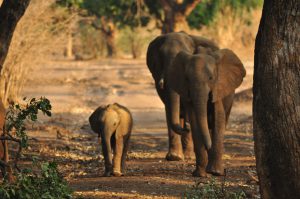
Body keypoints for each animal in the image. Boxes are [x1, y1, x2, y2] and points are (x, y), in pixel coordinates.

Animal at [166, 48, 246, 176]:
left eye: (211, 78)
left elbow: (219, 118)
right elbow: (195, 122)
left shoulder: (218, 88)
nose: (186, 126)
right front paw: (200, 175)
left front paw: (216, 172)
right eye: (187, 79)